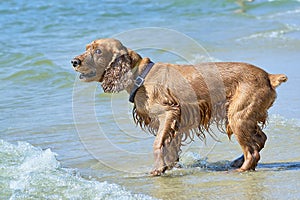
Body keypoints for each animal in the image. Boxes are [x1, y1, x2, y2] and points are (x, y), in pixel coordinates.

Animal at [71, 38, 288, 176]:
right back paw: (237, 161)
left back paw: (240, 169)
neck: (141, 76)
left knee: (253, 151)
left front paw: (157, 169)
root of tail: (269, 77)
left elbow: (157, 144)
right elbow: (170, 147)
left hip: (237, 117)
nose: (74, 61)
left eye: (98, 51)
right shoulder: (176, 120)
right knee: (260, 139)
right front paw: (168, 166)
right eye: (87, 47)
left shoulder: (168, 113)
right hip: (244, 116)